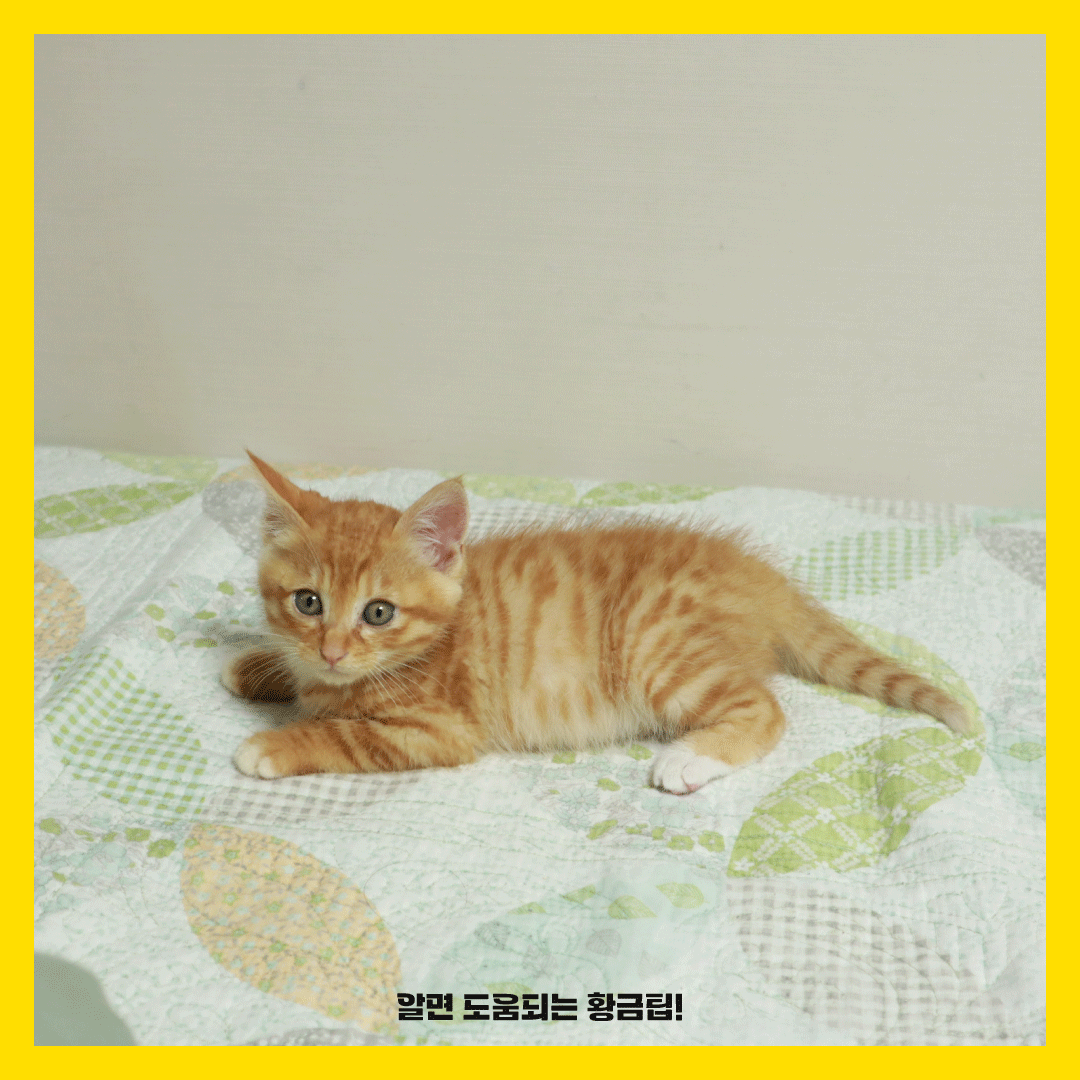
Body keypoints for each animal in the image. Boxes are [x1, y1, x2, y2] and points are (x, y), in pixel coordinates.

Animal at [224, 453, 973, 793]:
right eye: (308, 602)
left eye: (378, 612)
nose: (333, 650)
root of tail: (755, 573)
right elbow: (298, 679)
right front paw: (254, 664)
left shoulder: (438, 731)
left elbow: (346, 734)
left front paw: (274, 745)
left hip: (657, 647)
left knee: (763, 708)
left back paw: (691, 757)